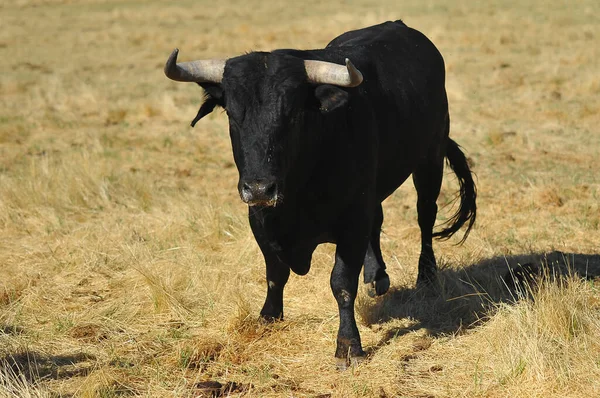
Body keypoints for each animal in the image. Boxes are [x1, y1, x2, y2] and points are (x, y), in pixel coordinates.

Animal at [165, 20, 478, 368]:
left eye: (293, 114)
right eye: (233, 114)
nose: (259, 188)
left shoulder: (352, 219)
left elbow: (341, 283)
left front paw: (349, 345)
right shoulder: (259, 217)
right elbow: (275, 272)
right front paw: (268, 317)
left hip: (430, 158)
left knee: (426, 216)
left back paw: (426, 276)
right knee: (379, 220)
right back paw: (376, 275)